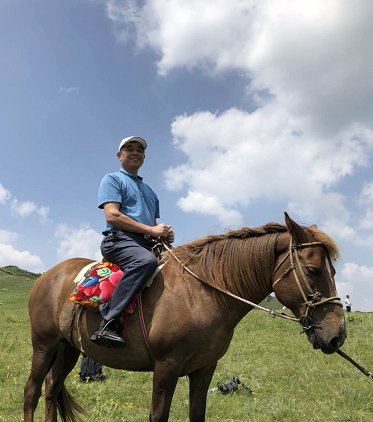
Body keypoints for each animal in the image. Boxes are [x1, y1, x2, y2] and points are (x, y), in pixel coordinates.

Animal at [24, 214, 346, 422]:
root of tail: (48, 275)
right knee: (32, 391)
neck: (202, 293)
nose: (337, 336)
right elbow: (158, 415)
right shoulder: (166, 367)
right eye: (314, 270)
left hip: (68, 348)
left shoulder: (204, 369)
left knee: (52, 390)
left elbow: (197, 414)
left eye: (332, 271)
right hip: (44, 344)